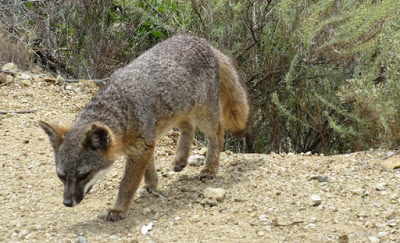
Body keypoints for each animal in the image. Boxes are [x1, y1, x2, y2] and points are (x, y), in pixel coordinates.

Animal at [37, 34, 250, 222]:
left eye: (84, 175)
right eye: (61, 176)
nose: (67, 203)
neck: (122, 107)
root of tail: (204, 42)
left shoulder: (142, 147)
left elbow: (127, 184)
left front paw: (119, 208)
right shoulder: (146, 143)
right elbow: (149, 168)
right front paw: (152, 184)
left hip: (204, 115)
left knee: (217, 134)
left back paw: (210, 168)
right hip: (175, 112)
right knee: (188, 127)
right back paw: (180, 159)